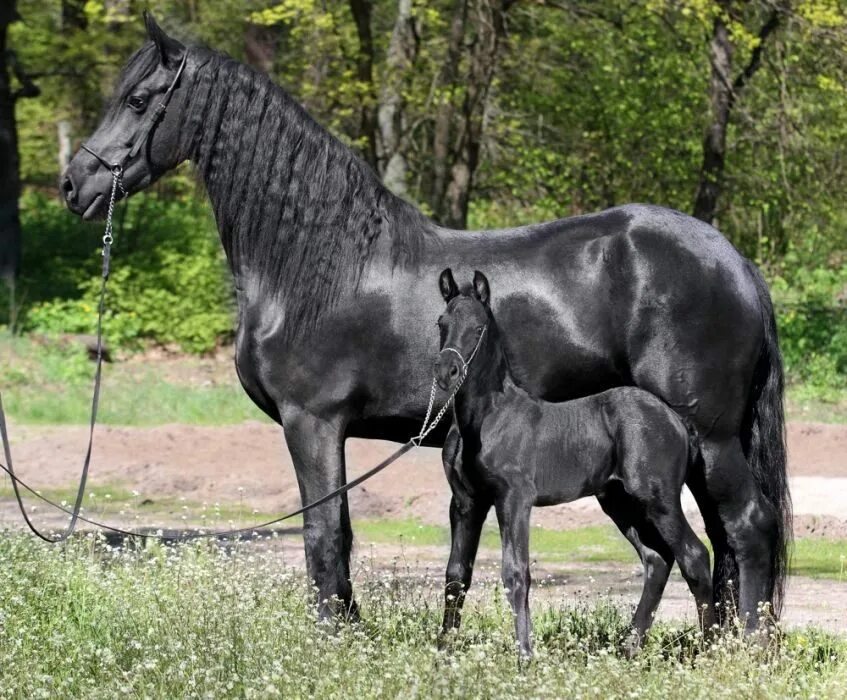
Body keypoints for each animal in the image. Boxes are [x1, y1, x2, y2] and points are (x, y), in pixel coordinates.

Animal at [430, 268, 716, 656]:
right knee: (657, 559)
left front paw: (525, 655)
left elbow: (516, 573)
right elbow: (456, 575)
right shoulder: (465, 502)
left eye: (478, 328)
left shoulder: (514, 499)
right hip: (619, 501)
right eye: (441, 323)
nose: (446, 371)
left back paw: (715, 646)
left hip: (658, 499)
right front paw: (444, 650)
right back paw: (629, 649)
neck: (488, 418)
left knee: (694, 556)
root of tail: (676, 420)